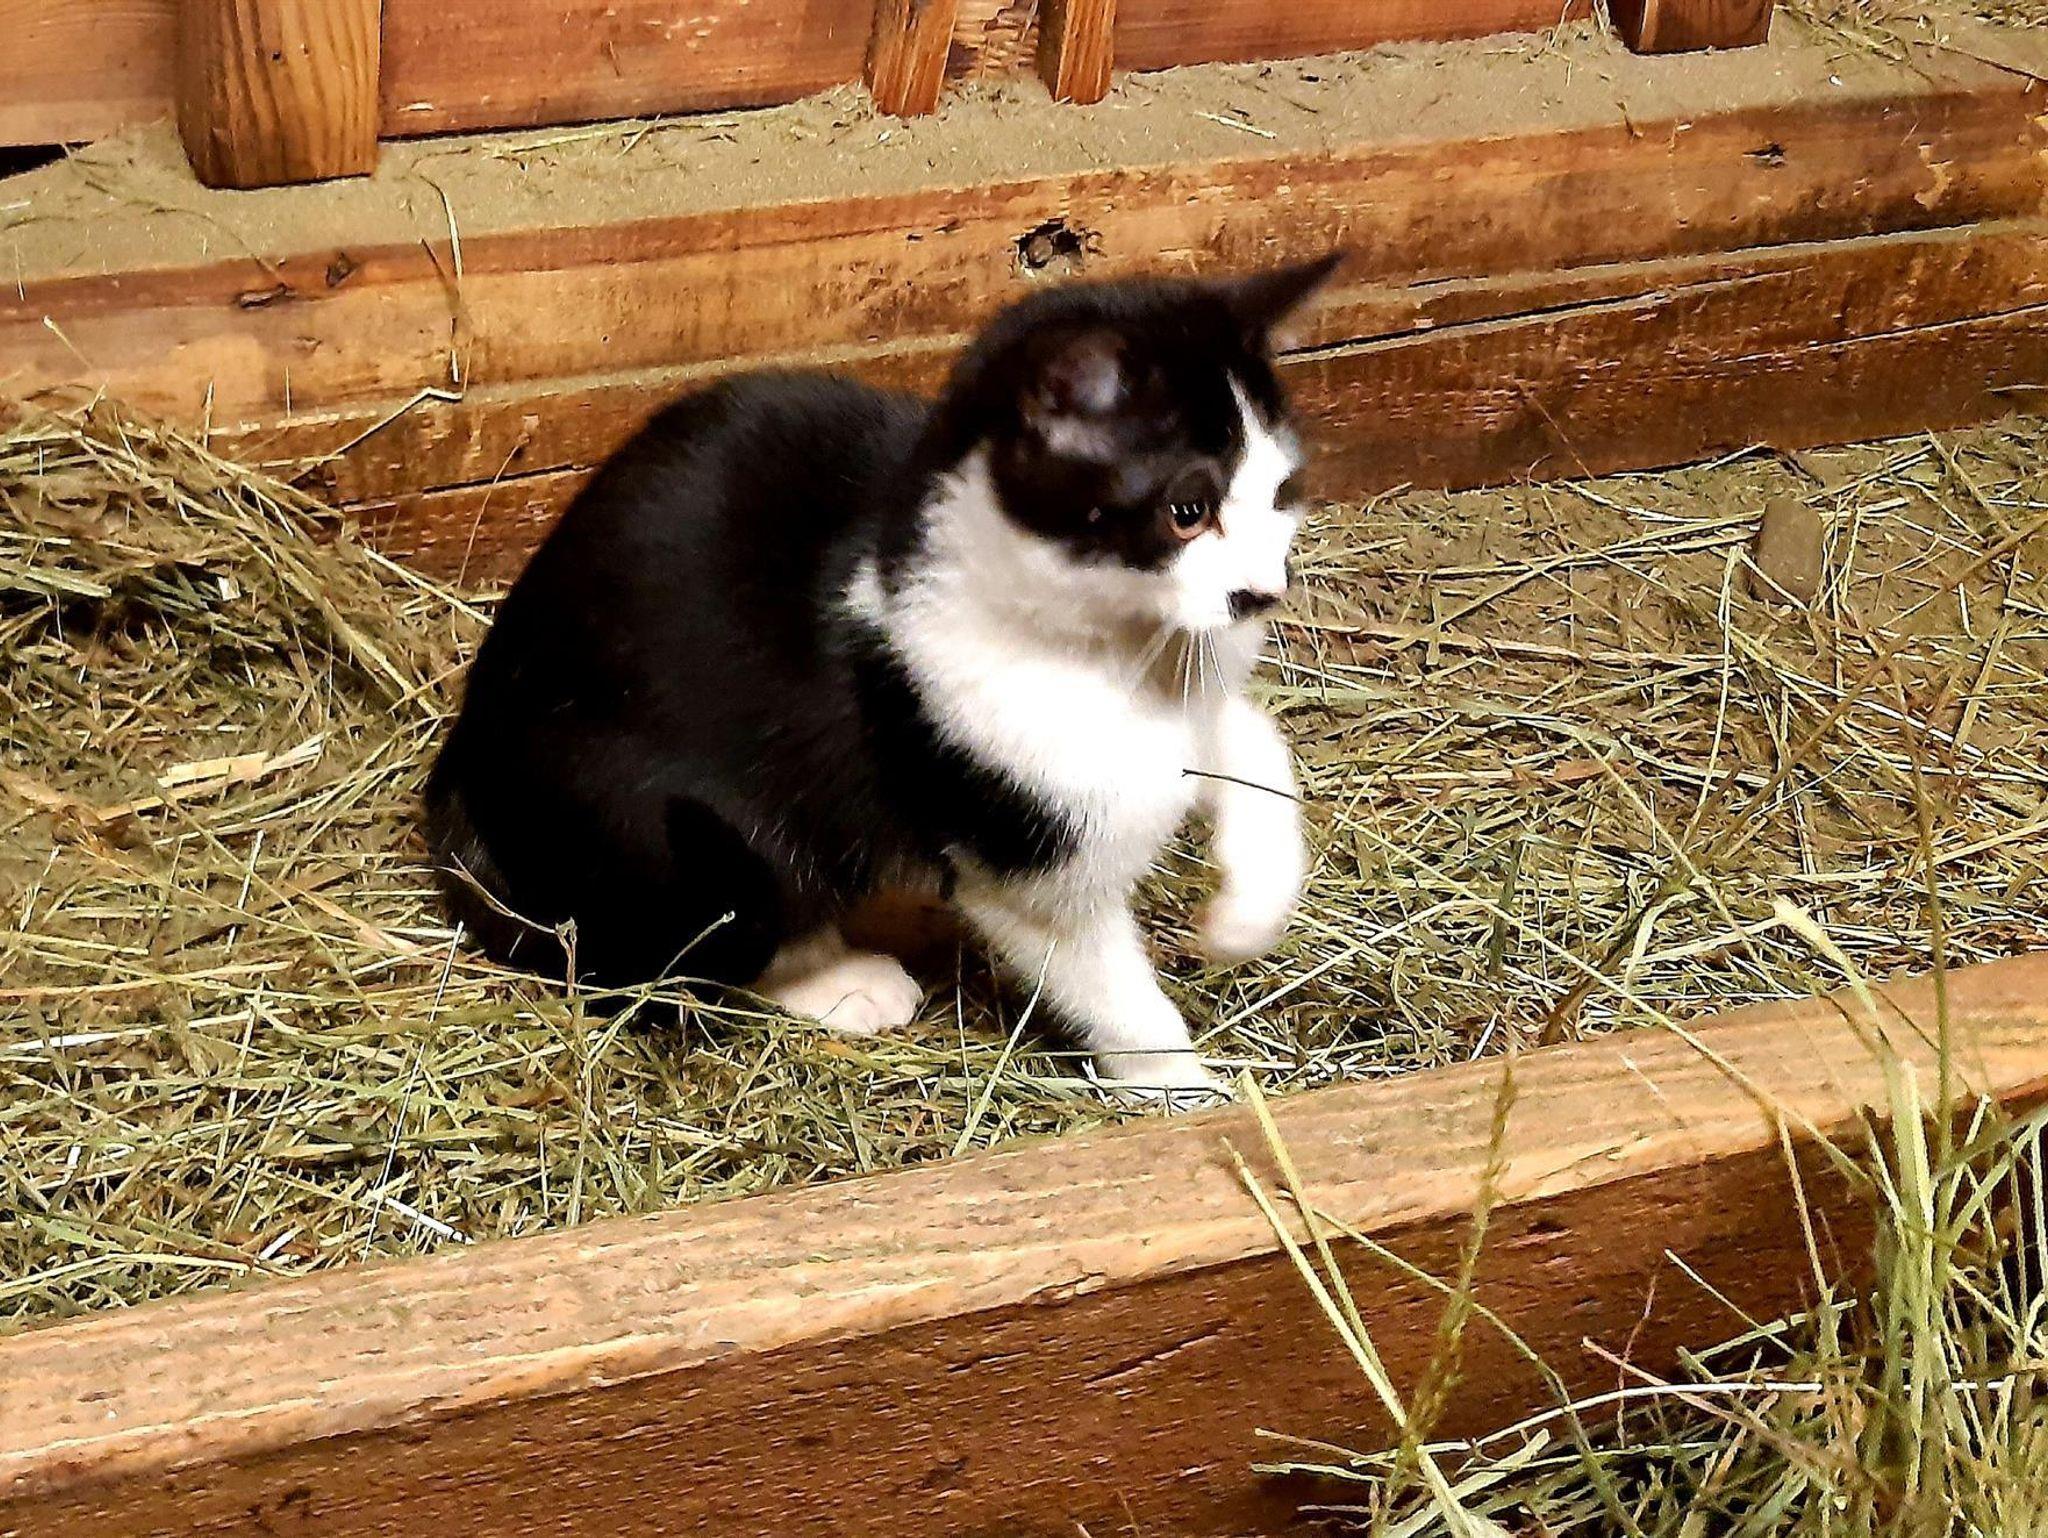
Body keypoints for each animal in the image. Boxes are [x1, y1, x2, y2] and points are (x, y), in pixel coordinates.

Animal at [424, 254, 1338, 1100]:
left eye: (1281, 491)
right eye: (1188, 510)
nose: (1264, 591)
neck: (1117, 648)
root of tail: (459, 767)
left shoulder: (1189, 694)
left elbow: (1256, 748)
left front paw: (1247, 912)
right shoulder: (1020, 860)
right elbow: (1105, 981)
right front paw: (1186, 1089)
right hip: (676, 831)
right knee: (694, 939)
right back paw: (838, 978)